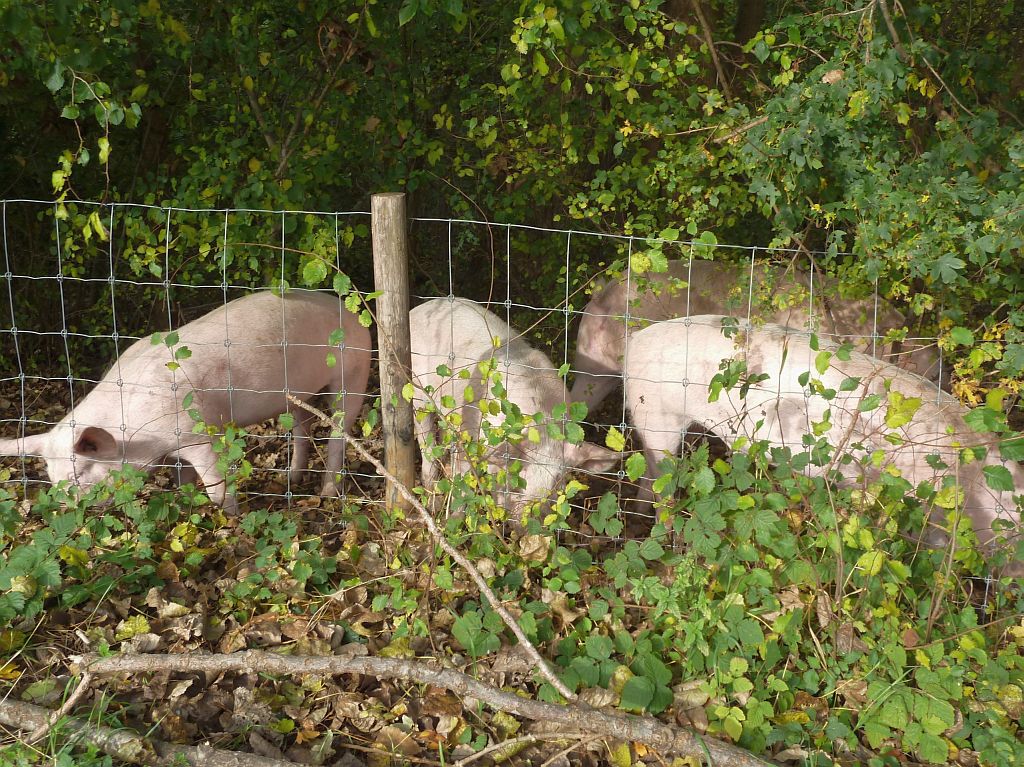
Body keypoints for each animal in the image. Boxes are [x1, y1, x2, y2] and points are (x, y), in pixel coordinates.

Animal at [0, 288, 372, 507]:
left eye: (79, 475)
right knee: (302, 427)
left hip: (353, 372)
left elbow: (216, 484)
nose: (68, 508)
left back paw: (327, 493)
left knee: (339, 431)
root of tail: (354, 314)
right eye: (52, 477)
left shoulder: (199, 434)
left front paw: (226, 518)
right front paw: (186, 502)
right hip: (297, 395)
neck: (135, 435)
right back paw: (290, 479)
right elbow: (185, 480)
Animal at [407, 296, 614, 518]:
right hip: (418, 393)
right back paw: (432, 501)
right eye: (520, 473)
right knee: (426, 443)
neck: (543, 427)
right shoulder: (471, 432)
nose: (535, 517)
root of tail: (419, 308)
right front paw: (453, 519)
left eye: (559, 480)